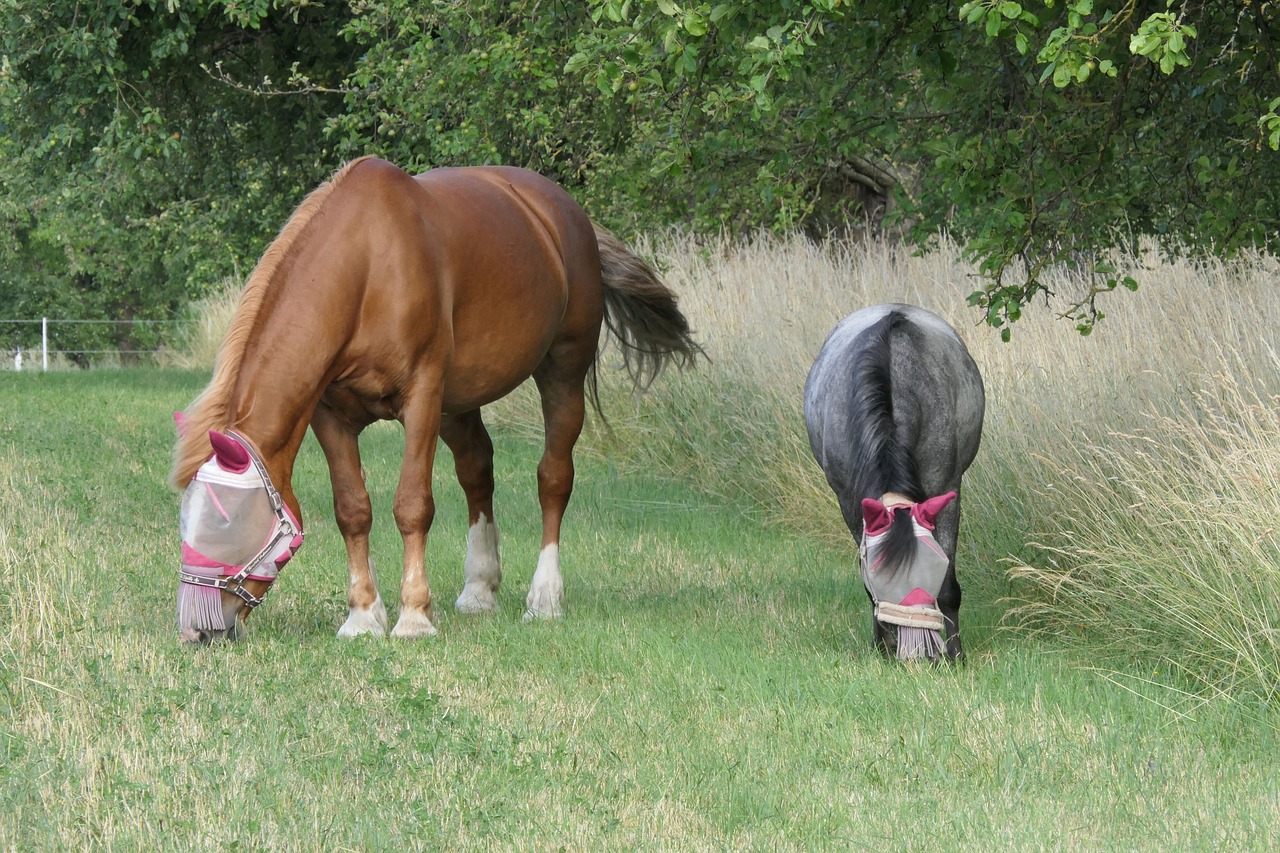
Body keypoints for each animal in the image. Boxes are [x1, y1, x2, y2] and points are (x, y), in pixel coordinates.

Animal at [170, 157, 701, 637]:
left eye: (226, 522)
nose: (196, 628)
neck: (368, 266)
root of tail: (566, 213)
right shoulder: (331, 415)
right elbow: (352, 510)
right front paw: (363, 617)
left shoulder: (422, 397)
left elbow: (412, 506)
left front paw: (413, 618)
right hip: (459, 403)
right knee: (477, 471)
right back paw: (479, 590)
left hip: (561, 373)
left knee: (553, 478)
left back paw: (545, 598)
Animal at [803, 302, 983, 660]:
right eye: (881, 578)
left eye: (933, 569)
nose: (918, 653)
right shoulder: (849, 501)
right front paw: (882, 645)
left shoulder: (947, 490)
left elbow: (949, 586)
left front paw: (955, 653)